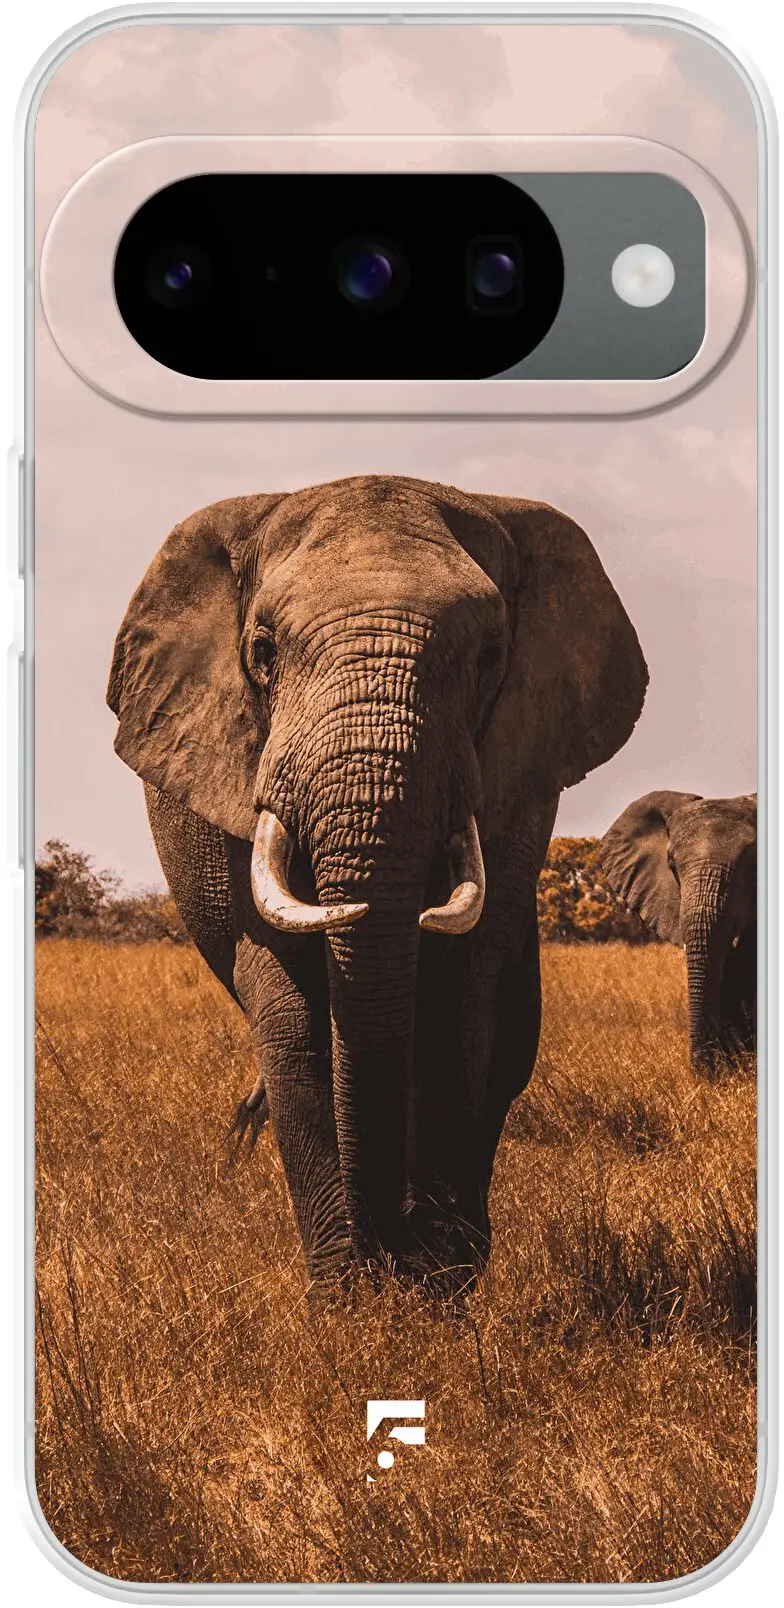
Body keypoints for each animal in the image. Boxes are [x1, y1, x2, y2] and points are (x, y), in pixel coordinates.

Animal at [108, 474, 647, 1288]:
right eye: (263, 652)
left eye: (491, 656)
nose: (387, 1251)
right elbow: (294, 1017)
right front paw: (350, 1297)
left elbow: (461, 1003)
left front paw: (436, 1287)